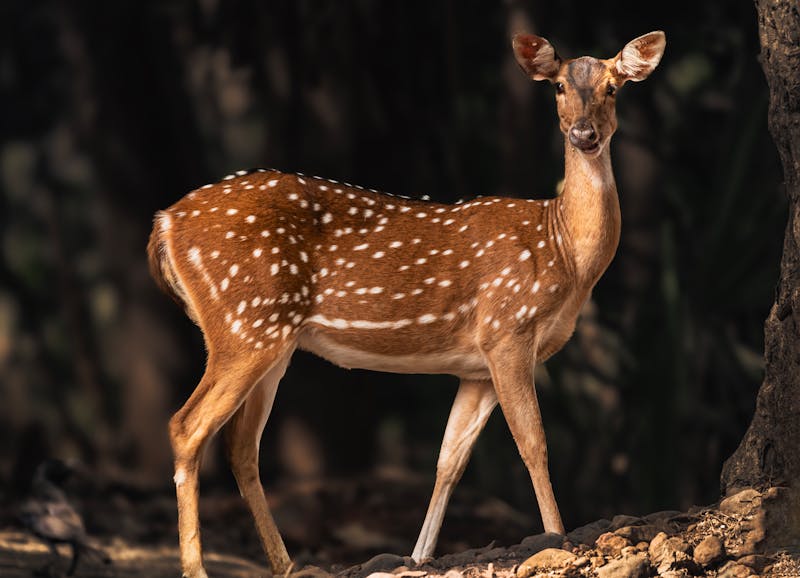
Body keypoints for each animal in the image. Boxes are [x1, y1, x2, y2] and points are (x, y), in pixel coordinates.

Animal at [147, 30, 665, 578]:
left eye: (613, 88)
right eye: (560, 86)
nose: (584, 134)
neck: (564, 251)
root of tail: (164, 223)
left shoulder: (477, 367)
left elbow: (448, 461)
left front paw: (419, 555)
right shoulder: (509, 328)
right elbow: (533, 444)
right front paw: (558, 537)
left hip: (271, 338)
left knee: (241, 447)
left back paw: (287, 564)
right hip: (245, 321)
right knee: (187, 426)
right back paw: (197, 567)